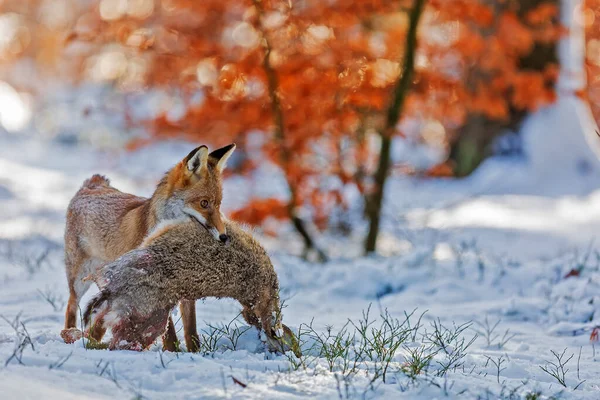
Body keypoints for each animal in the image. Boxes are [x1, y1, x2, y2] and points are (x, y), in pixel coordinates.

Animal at [61, 144, 234, 354]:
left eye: (218, 204)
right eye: (204, 203)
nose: (224, 237)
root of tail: (93, 185)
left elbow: (191, 329)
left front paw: (195, 354)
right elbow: (168, 330)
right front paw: (172, 352)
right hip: (79, 279)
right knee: (71, 306)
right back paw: (70, 336)